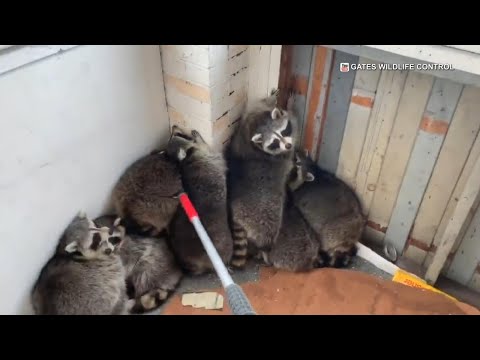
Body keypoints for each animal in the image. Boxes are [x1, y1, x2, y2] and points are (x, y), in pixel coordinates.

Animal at [165, 125, 232, 274]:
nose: (174, 126)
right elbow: (207, 148)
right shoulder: (207, 156)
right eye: (177, 135)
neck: (183, 161)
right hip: (223, 243)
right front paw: (198, 137)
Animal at [227, 90, 298, 270]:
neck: (260, 124)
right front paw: (291, 106)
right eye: (274, 143)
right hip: (263, 215)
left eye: (283, 132)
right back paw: (266, 251)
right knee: (267, 231)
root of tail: (235, 212)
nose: (287, 146)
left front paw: (274, 99)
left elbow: (257, 104)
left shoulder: (248, 118)